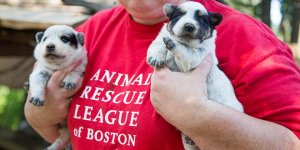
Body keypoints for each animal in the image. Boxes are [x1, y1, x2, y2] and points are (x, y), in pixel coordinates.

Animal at [147, 1, 244, 150]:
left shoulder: (197, 56)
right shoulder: (160, 38)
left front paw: (173, 43)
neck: (186, 41)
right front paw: (157, 57)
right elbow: (158, 44)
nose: (189, 26)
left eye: (202, 20)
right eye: (179, 15)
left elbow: (185, 50)